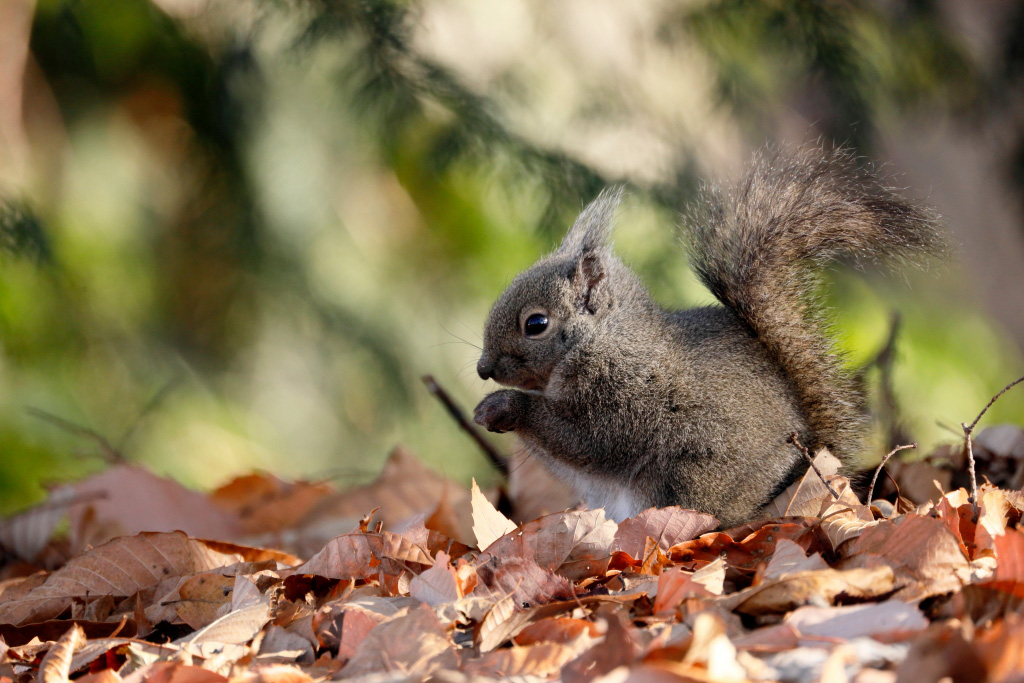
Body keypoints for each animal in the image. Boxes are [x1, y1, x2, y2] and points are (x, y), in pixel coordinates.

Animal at [472, 146, 943, 528]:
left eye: (536, 324)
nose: (482, 369)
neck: (609, 338)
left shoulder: (624, 396)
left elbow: (588, 441)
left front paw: (506, 407)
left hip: (697, 476)